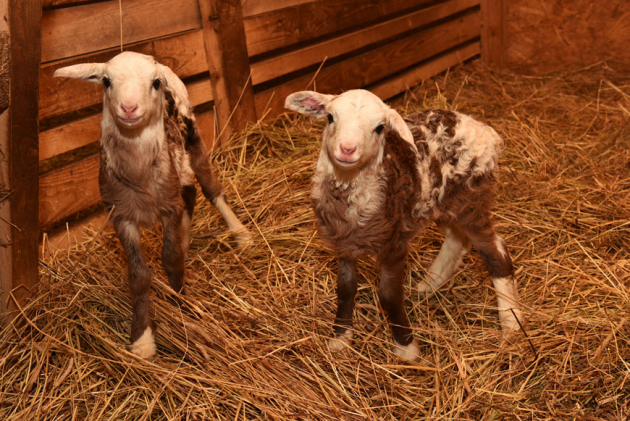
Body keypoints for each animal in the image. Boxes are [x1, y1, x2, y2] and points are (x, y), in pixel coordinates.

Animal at [54, 52, 251, 358]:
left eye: (155, 83)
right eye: (106, 81)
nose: (129, 107)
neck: (138, 173)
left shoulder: (168, 207)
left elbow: (170, 259)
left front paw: (181, 305)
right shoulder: (121, 214)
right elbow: (138, 275)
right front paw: (142, 340)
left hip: (192, 138)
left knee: (211, 190)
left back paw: (241, 235)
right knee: (189, 194)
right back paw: (188, 240)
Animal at [285, 89, 522, 361]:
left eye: (380, 128)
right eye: (330, 117)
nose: (347, 149)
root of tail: (484, 130)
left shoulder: (394, 243)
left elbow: (388, 296)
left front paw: (406, 348)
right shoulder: (345, 243)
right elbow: (345, 288)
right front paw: (340, 338)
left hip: (473, 198)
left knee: (496, 253)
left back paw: (511, 324)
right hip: (442, 201)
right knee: (456, 241)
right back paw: (429, 285)